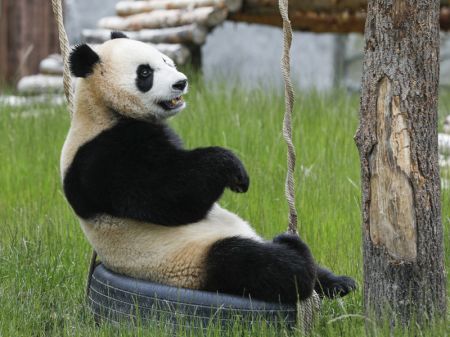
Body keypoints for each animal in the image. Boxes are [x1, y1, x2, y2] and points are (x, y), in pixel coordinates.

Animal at [60, 32, 356, 304]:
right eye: (145, 73)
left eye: (166, 60)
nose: (181, 82)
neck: (100, 110)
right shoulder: (104, 156)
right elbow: (168, 194)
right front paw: (233, 171)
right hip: (189, 260)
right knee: (250, 261)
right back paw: (295, 254)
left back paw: (338, 282)